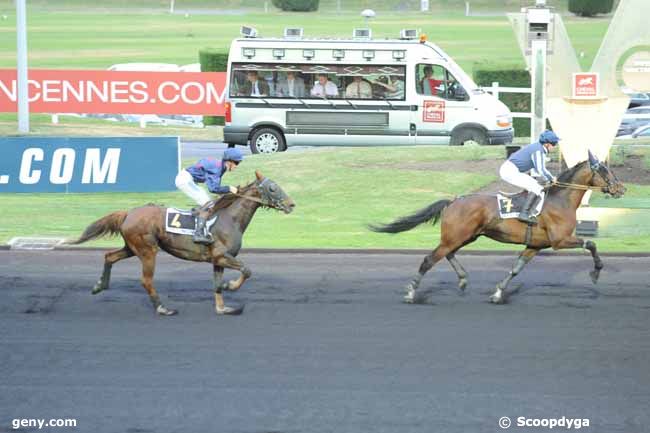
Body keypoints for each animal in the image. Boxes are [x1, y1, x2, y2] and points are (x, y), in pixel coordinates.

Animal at [68, 170, 294, 316]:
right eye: (272, 188)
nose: (291, 204)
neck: (229, 218)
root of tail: (128, 213)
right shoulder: (221, 255)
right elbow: (246, 271)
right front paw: (230, 285)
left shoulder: (218, 260)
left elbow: (217, 285)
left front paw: (223, 308)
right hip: (148, 250)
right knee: (146, 280)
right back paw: (163, 308)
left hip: (132, 247)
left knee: (109, 256)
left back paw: (100, 285)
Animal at [368, 152, 624, 304]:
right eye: (605, 171)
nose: (621, 188)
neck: (560, 199)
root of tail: (453, 200)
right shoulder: (559, 240)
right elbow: (591, 243)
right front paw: (596, 272)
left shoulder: (535, 245)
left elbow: (515, 268)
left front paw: (499, 292)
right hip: (457, 236)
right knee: (429, 260)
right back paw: (411, 293)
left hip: (465, 236)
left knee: (448, 254)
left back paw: (462, 280)